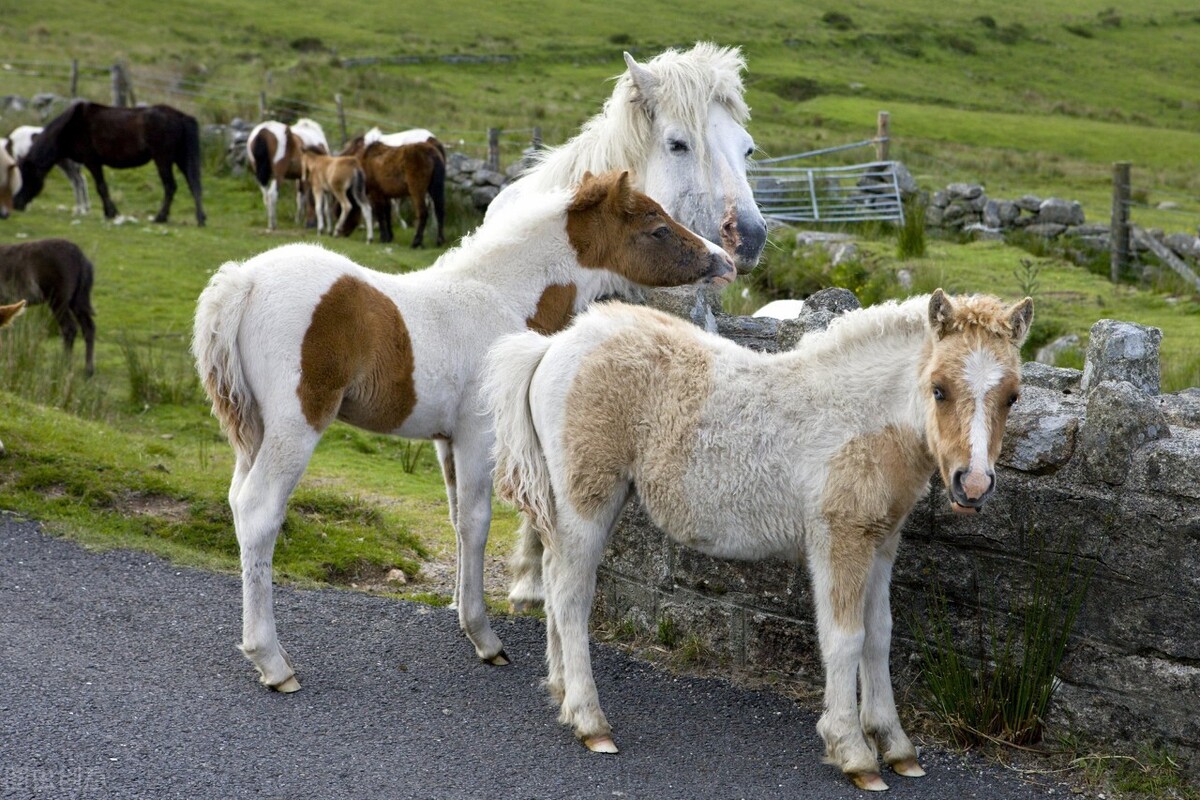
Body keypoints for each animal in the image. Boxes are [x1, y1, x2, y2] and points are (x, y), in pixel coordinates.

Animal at [0, 237, 97, 376]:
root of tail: (80, 256)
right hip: (77, 301)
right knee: (88, 328)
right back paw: (88, 371)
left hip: (58, 300)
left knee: (69, 328)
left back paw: (65, 366)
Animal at [14, 100, 205, 225]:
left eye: (26, 176)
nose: (16, 204)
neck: (71, 126)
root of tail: (181, 116)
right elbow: (102, 187)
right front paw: (111, 212)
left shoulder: (92, 161)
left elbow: (101, 187)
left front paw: (110, 213)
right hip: (180, 159)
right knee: (193, 184)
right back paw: (200, 218)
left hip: (163, 160)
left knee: (170, 187)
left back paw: (161, 217)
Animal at [192, 170, 734, 695]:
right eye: (658, 228)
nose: (725, 260)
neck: (502, 299)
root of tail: (244, 280)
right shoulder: (478, 435)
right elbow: (476, 522)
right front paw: (483, 637)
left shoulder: (446, 441)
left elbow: (455, 519)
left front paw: (459, 610)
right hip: (295, 426)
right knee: (259, 511)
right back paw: (272, 662)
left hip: (254, 431)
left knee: (238, 501)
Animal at [484, 289, 1032, 786]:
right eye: (939, 388)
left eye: (1013, 396)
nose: (973, 485)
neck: (862, 417)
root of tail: (555, 344)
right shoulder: (840, 539)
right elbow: (844, 638)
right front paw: (853, 751)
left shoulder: (881, 541)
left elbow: (879, 635)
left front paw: (896, 745)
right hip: (589, 500)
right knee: (571, 597)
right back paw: (589, 719)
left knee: (553, 582)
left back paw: (561, 694)